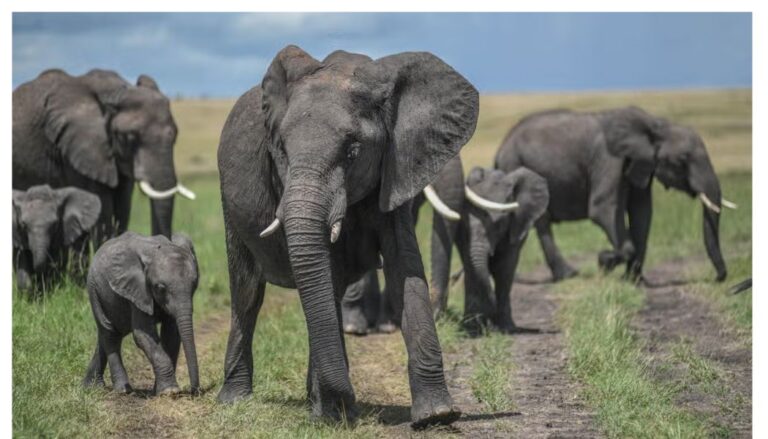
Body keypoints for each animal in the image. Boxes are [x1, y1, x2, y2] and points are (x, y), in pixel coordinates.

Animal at [12, 68, 195, 245]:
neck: (115, 92)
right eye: (129, 137)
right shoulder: (76, 151)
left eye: (175, 135)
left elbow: (122, 207)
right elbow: (103, 211)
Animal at [83, 232, 200, 396]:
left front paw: (159, 391)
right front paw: (169, 391)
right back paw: (123, 390)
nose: (194, 391)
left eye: (195, 284)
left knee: (106, 335)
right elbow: (142, 335)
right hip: (94, 291)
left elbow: (171, 334)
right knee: (110, 334)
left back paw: (90, 387)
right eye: (160, 288)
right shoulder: (137, 289)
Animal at [217, 45, 479, 427]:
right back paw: (237, 400)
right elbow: (324, 273)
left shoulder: (393, 169)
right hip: (228, 205)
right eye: (280, 150)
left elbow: (405, 270)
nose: (350, 401)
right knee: (247, 293)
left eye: (353, 151)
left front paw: (437, 415)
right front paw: (335, 410)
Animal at [458, 167, 549, 334]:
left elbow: (504, 269)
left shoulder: (517, 225)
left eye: (499, 224)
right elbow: (471, 265)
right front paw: (474, 327)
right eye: (465, 225)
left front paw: (507, 329)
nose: (491, 318)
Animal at [495, 106, 735, 283]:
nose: (718, 278)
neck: (654, 124)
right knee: (542, 222)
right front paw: (603, 262)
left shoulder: (642, 164)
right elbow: (603, 209)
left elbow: (642, 213)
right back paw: (570, 275)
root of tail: (500, 150)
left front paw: (634, 281)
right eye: (682, 160)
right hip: (515, 164)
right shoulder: (608, 158)